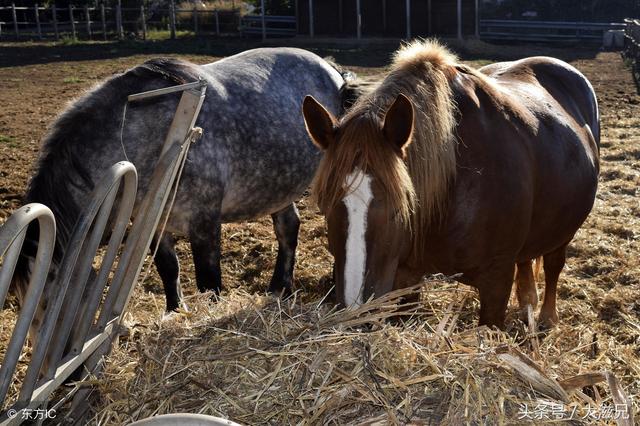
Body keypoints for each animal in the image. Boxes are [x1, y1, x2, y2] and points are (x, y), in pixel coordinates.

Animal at [15, 48, 352, 312]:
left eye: (47, 305)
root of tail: (330, 68)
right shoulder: (152, 222)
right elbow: (168, 268)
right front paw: (175, 311)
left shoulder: (204, 221)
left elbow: (209, 280)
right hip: (279, 186)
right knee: (288, 228)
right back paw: (280, 287)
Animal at [302, 40, 596, 328]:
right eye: (325, 206)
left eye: (400, 209)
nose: (357, 316)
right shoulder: (407, 275)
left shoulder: (497, 280)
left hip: (563, 232)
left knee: (553, 265)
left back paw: (546, 317)